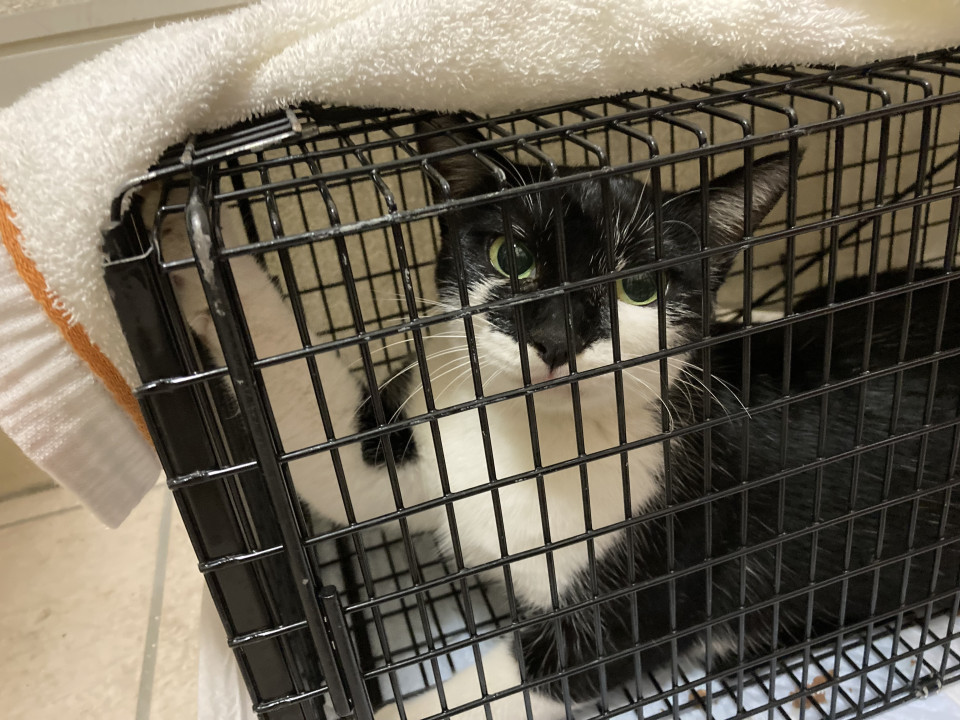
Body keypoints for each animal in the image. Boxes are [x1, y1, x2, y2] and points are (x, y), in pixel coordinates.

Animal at [172, 115, 960, 720]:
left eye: (639, 287)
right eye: (509, 255)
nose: (553, 337)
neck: (535, 447)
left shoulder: (656, 555)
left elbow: (525, 679)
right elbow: (327, 452)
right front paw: (184, 246)